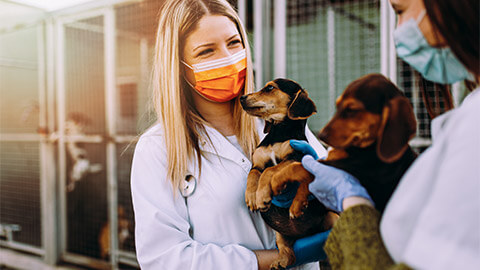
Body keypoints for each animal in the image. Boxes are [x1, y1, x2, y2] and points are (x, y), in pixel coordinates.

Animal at [240, 78, 338, 270]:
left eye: (270, 88)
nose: (241, 98)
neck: (278, 132)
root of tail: (304, 234)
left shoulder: (296, 157)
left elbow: (273, 170)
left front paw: (264, 194)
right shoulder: (257, 164)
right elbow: (253, 175)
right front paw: (251, 197)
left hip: (332, 216)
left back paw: (296, 206)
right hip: (280, 234)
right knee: (289, 253)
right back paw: (281, 261)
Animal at [272, 73, 418, 214]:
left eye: (352, 110)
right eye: (338, 106)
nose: (321, 135)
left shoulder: (345, 167)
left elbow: (298, 167)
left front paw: (277, 181)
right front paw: (299, 203)